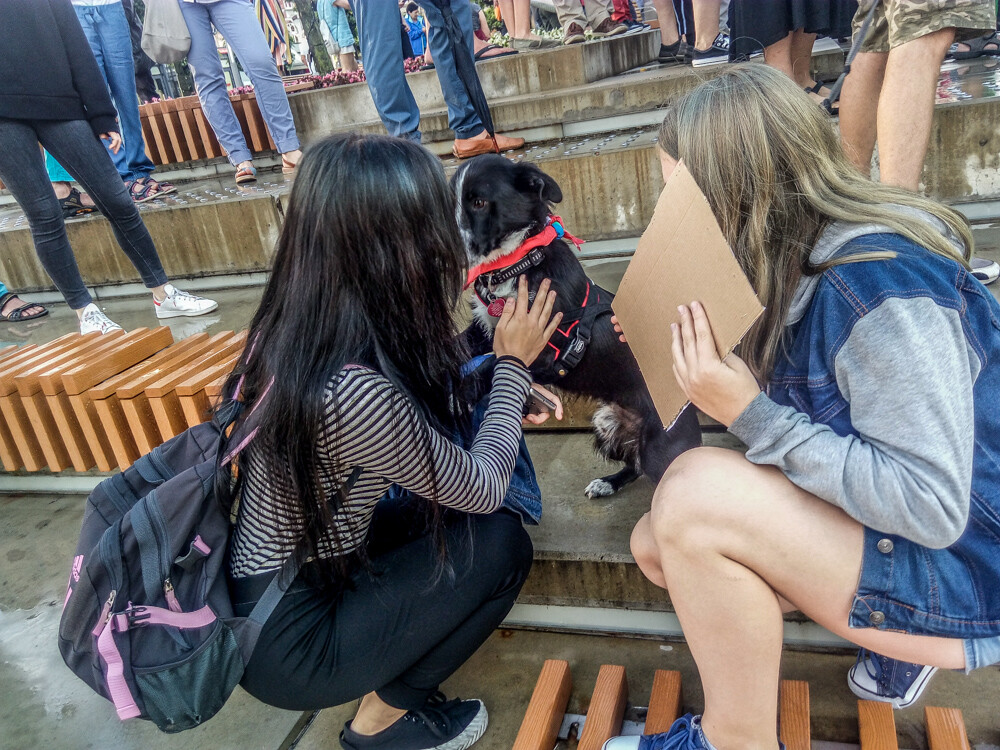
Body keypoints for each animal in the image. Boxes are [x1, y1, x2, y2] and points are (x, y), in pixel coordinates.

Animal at [454, 155, 704, 496]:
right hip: (606, 421)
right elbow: (463, 346)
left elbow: (493, 362)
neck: (516, 264)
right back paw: (607, 483)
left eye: (479, 202)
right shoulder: (484, 331)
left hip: (658, 448)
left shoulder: (546, 351)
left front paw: (461, 392)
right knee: (634, 465)